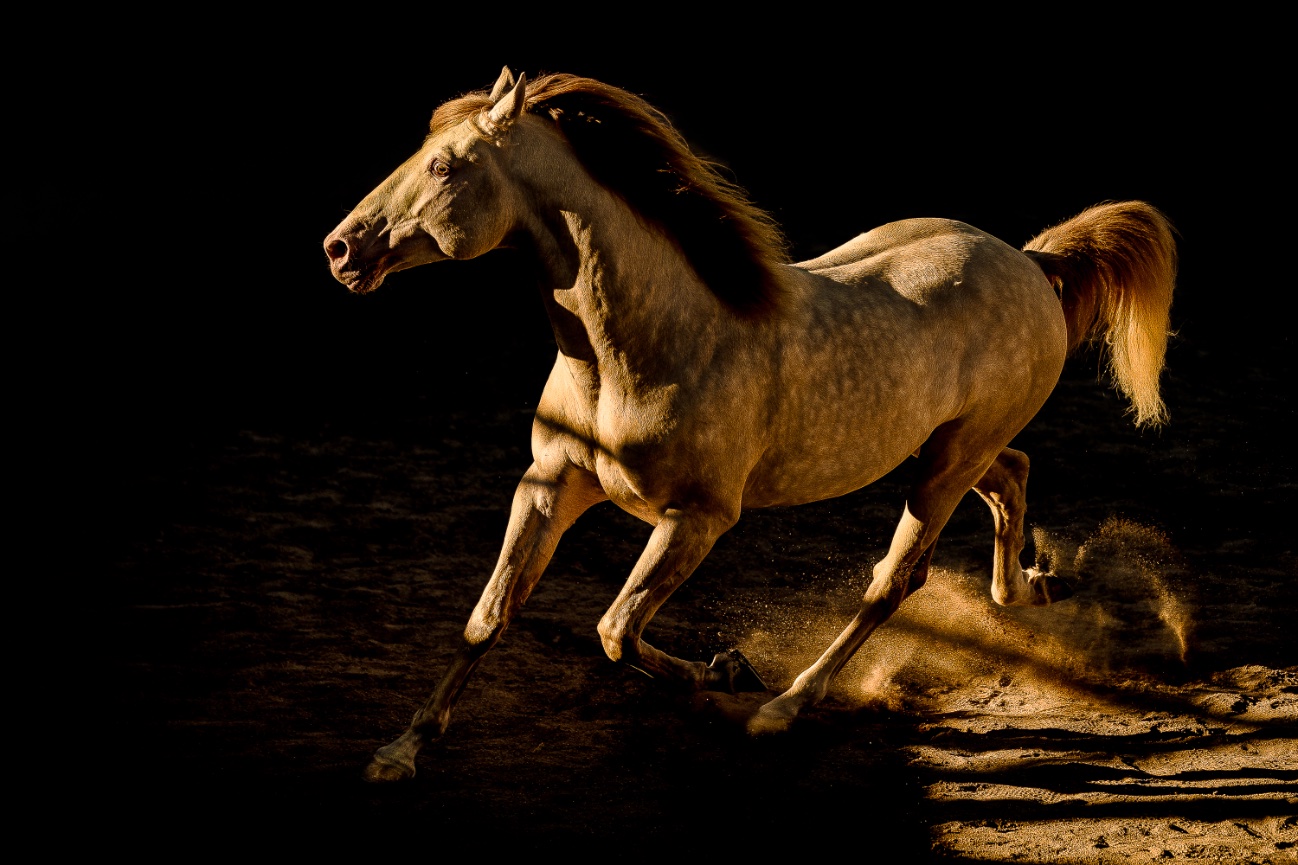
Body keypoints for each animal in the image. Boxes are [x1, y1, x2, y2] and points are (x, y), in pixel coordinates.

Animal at [323, 67, 1177, 782]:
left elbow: (615, 629)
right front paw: (399, 751)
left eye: (445, 166)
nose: (340, 248)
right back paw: (1037, 583)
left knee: (894, 579)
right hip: (948, 448)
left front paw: (725, 671)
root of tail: (1033, 263)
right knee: (1012, 477)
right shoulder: (549, 484)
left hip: (944, 465)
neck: (641, 350)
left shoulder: (697, 519)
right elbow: (489, 615)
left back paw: (783, 706)